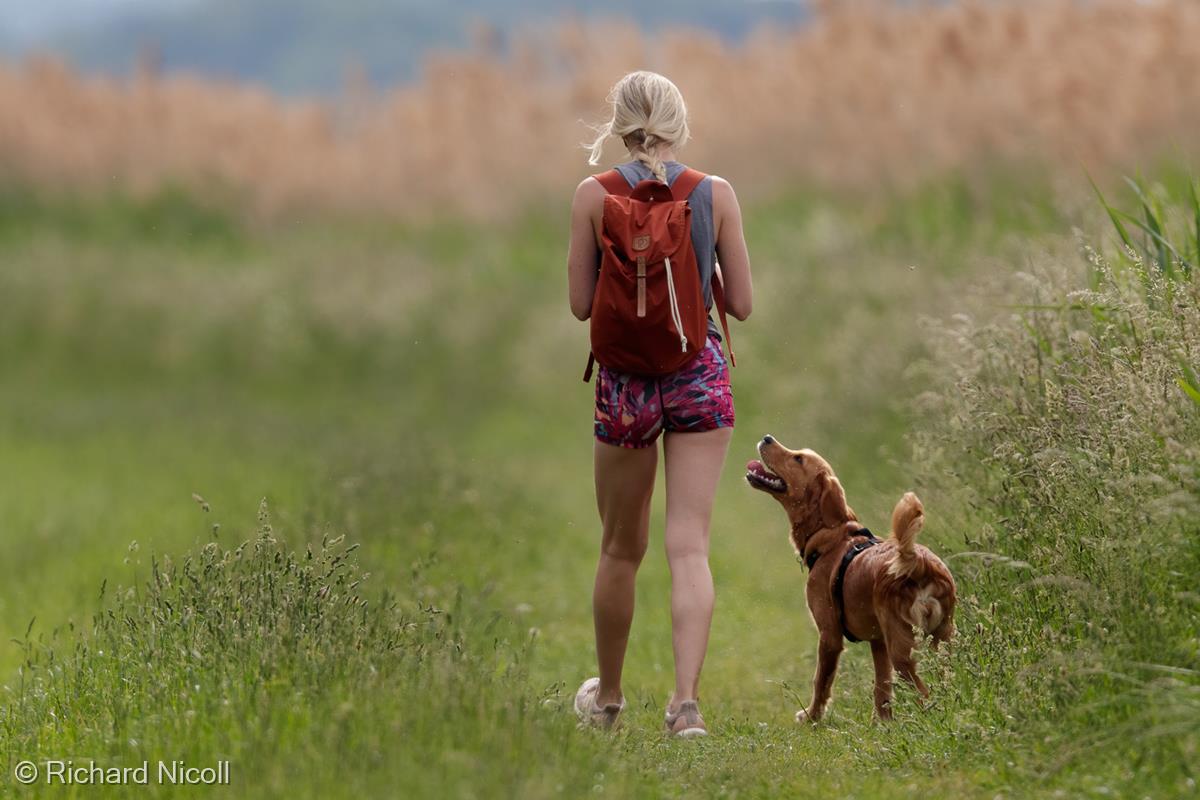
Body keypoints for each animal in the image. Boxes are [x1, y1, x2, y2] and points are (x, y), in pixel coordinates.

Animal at [744, 434, 960, 724]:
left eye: (798, 458)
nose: (767, 437)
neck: (831, 536)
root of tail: (920, 563)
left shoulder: (829, 635)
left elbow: (821, 682)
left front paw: (811, 717)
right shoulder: (878, 642)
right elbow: (882, 688)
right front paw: (882, 724)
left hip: (903, 649)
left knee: (923, 692)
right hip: (942, 638)